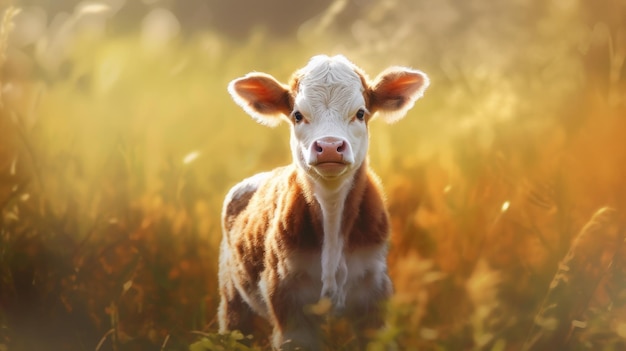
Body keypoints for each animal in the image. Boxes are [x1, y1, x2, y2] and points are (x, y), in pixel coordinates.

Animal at [217, 53, 426, 350]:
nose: (328, 146)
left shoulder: (374, 299)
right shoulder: (289, 306)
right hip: (232, 300)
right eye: (297, 115)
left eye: (360, 113)